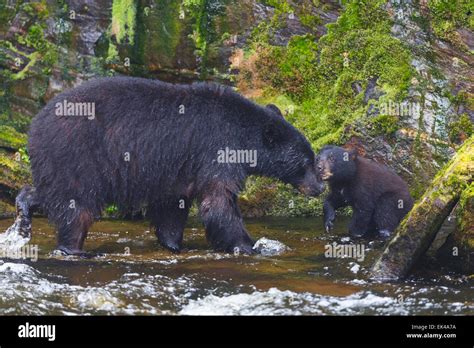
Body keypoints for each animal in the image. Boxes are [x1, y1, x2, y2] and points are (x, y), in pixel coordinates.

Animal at [12, 77, 324, 256]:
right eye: (306, 161)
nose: (320, 187)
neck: (244, 136)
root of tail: (34, 126)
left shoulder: (178, 170)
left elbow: (173, 206)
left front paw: (174, 244)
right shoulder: (216, 150)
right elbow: (218, 202)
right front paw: (249, 245)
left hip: (57, 164)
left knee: (51, 191)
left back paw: (24, 209)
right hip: (80, 156)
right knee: (78, 205)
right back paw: (75, 249)